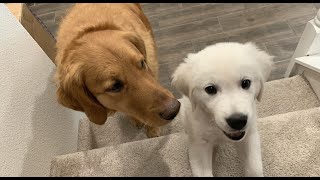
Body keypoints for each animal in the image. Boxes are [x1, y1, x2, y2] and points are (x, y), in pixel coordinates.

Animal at [171, 41, 274, 176]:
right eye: (210, 89)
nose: (237, 121)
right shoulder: (199, 145)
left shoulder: (249, 135)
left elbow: (254, 170)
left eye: (246, 83)